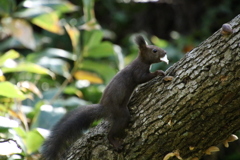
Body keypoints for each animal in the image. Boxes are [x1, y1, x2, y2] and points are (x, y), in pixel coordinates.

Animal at [40, 35, 169, 160]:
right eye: (154, 50)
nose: (165, 52)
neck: (141, 61)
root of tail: (105, 108)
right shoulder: (138, 71)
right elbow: (142, 78)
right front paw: (159, 72)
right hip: (121, 114)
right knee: (111, 133)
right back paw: (115, 142)